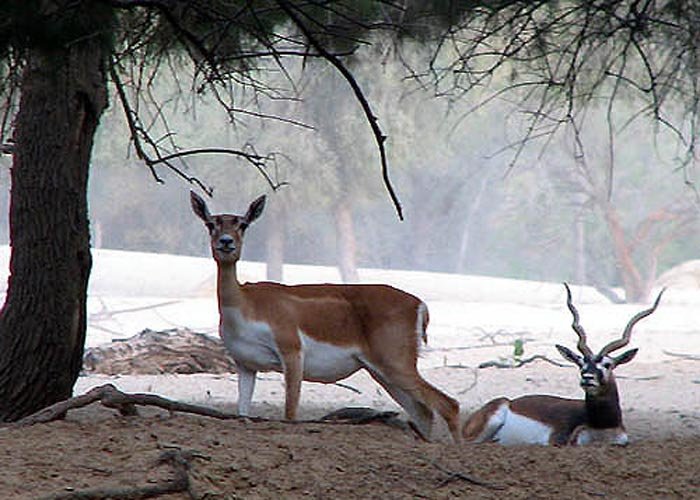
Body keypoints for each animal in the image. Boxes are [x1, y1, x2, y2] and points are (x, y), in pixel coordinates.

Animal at [189, 191, 462, 442]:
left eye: (243, 224)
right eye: (211, 223)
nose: (226, 242)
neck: (245, 303)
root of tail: (419, 304)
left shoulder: (292, 352)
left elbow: (290, 413)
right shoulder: (245, 364)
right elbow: (242, 411)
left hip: (396, 364)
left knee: (449, 405)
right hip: (381, 372)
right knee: (423, 411)